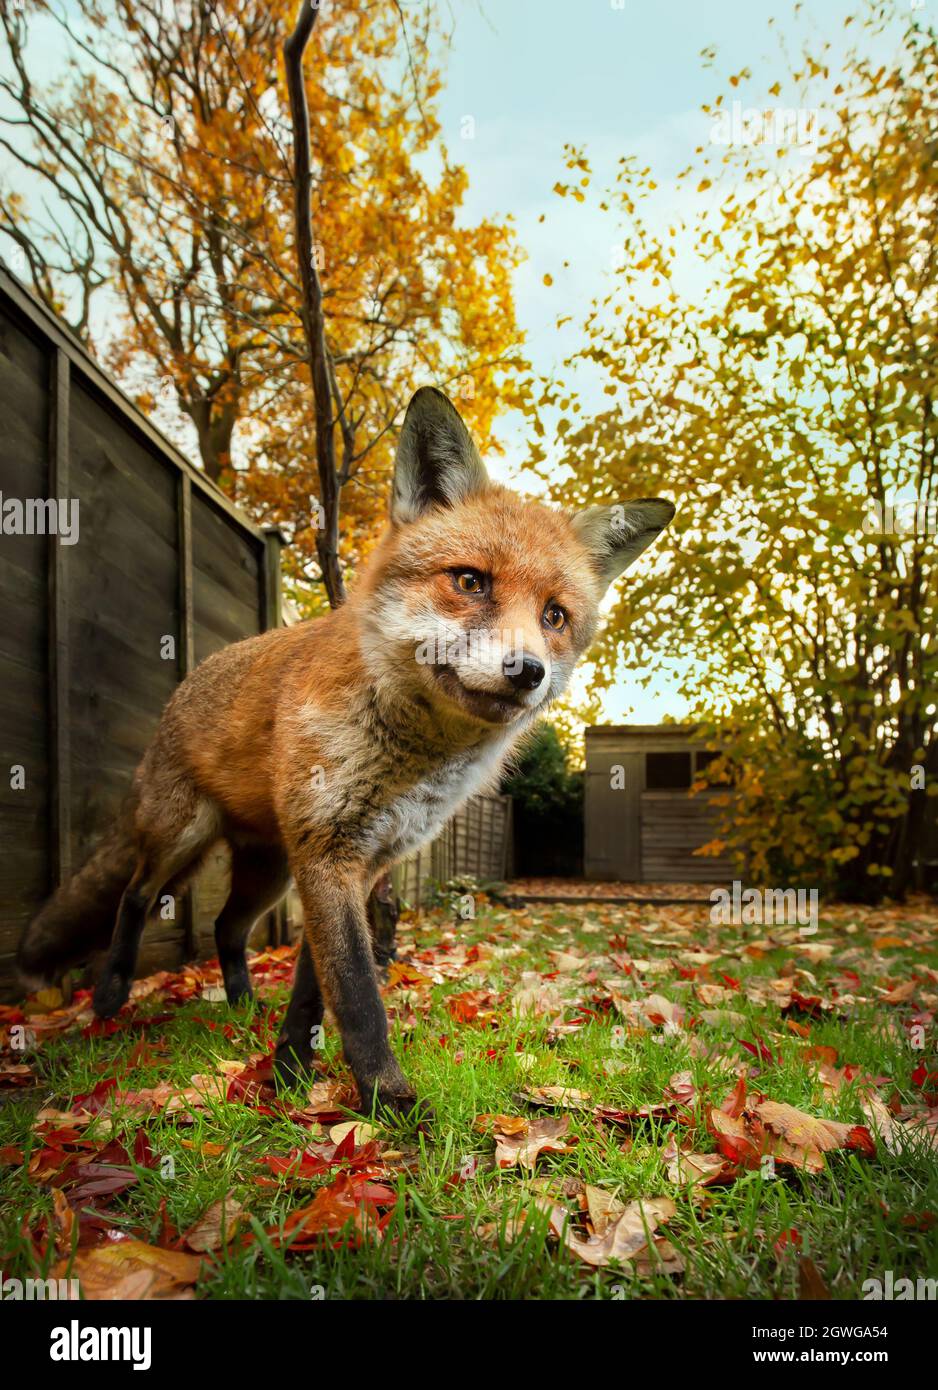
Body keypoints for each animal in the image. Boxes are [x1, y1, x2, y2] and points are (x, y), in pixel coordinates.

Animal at [16, 389, 675, 1117]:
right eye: (471, 582)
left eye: (555, 617)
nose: (526, 671)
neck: (409, 763)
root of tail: (187, 679)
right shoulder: (328, 853)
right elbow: (358, 996)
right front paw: (390, 1104)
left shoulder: (355, 863)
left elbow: (316, 988)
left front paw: (289, 1074)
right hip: (181, 836)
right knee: (134, 897)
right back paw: (109, 998)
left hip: (268, 871)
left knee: (224, 927)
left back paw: (242, 1009)